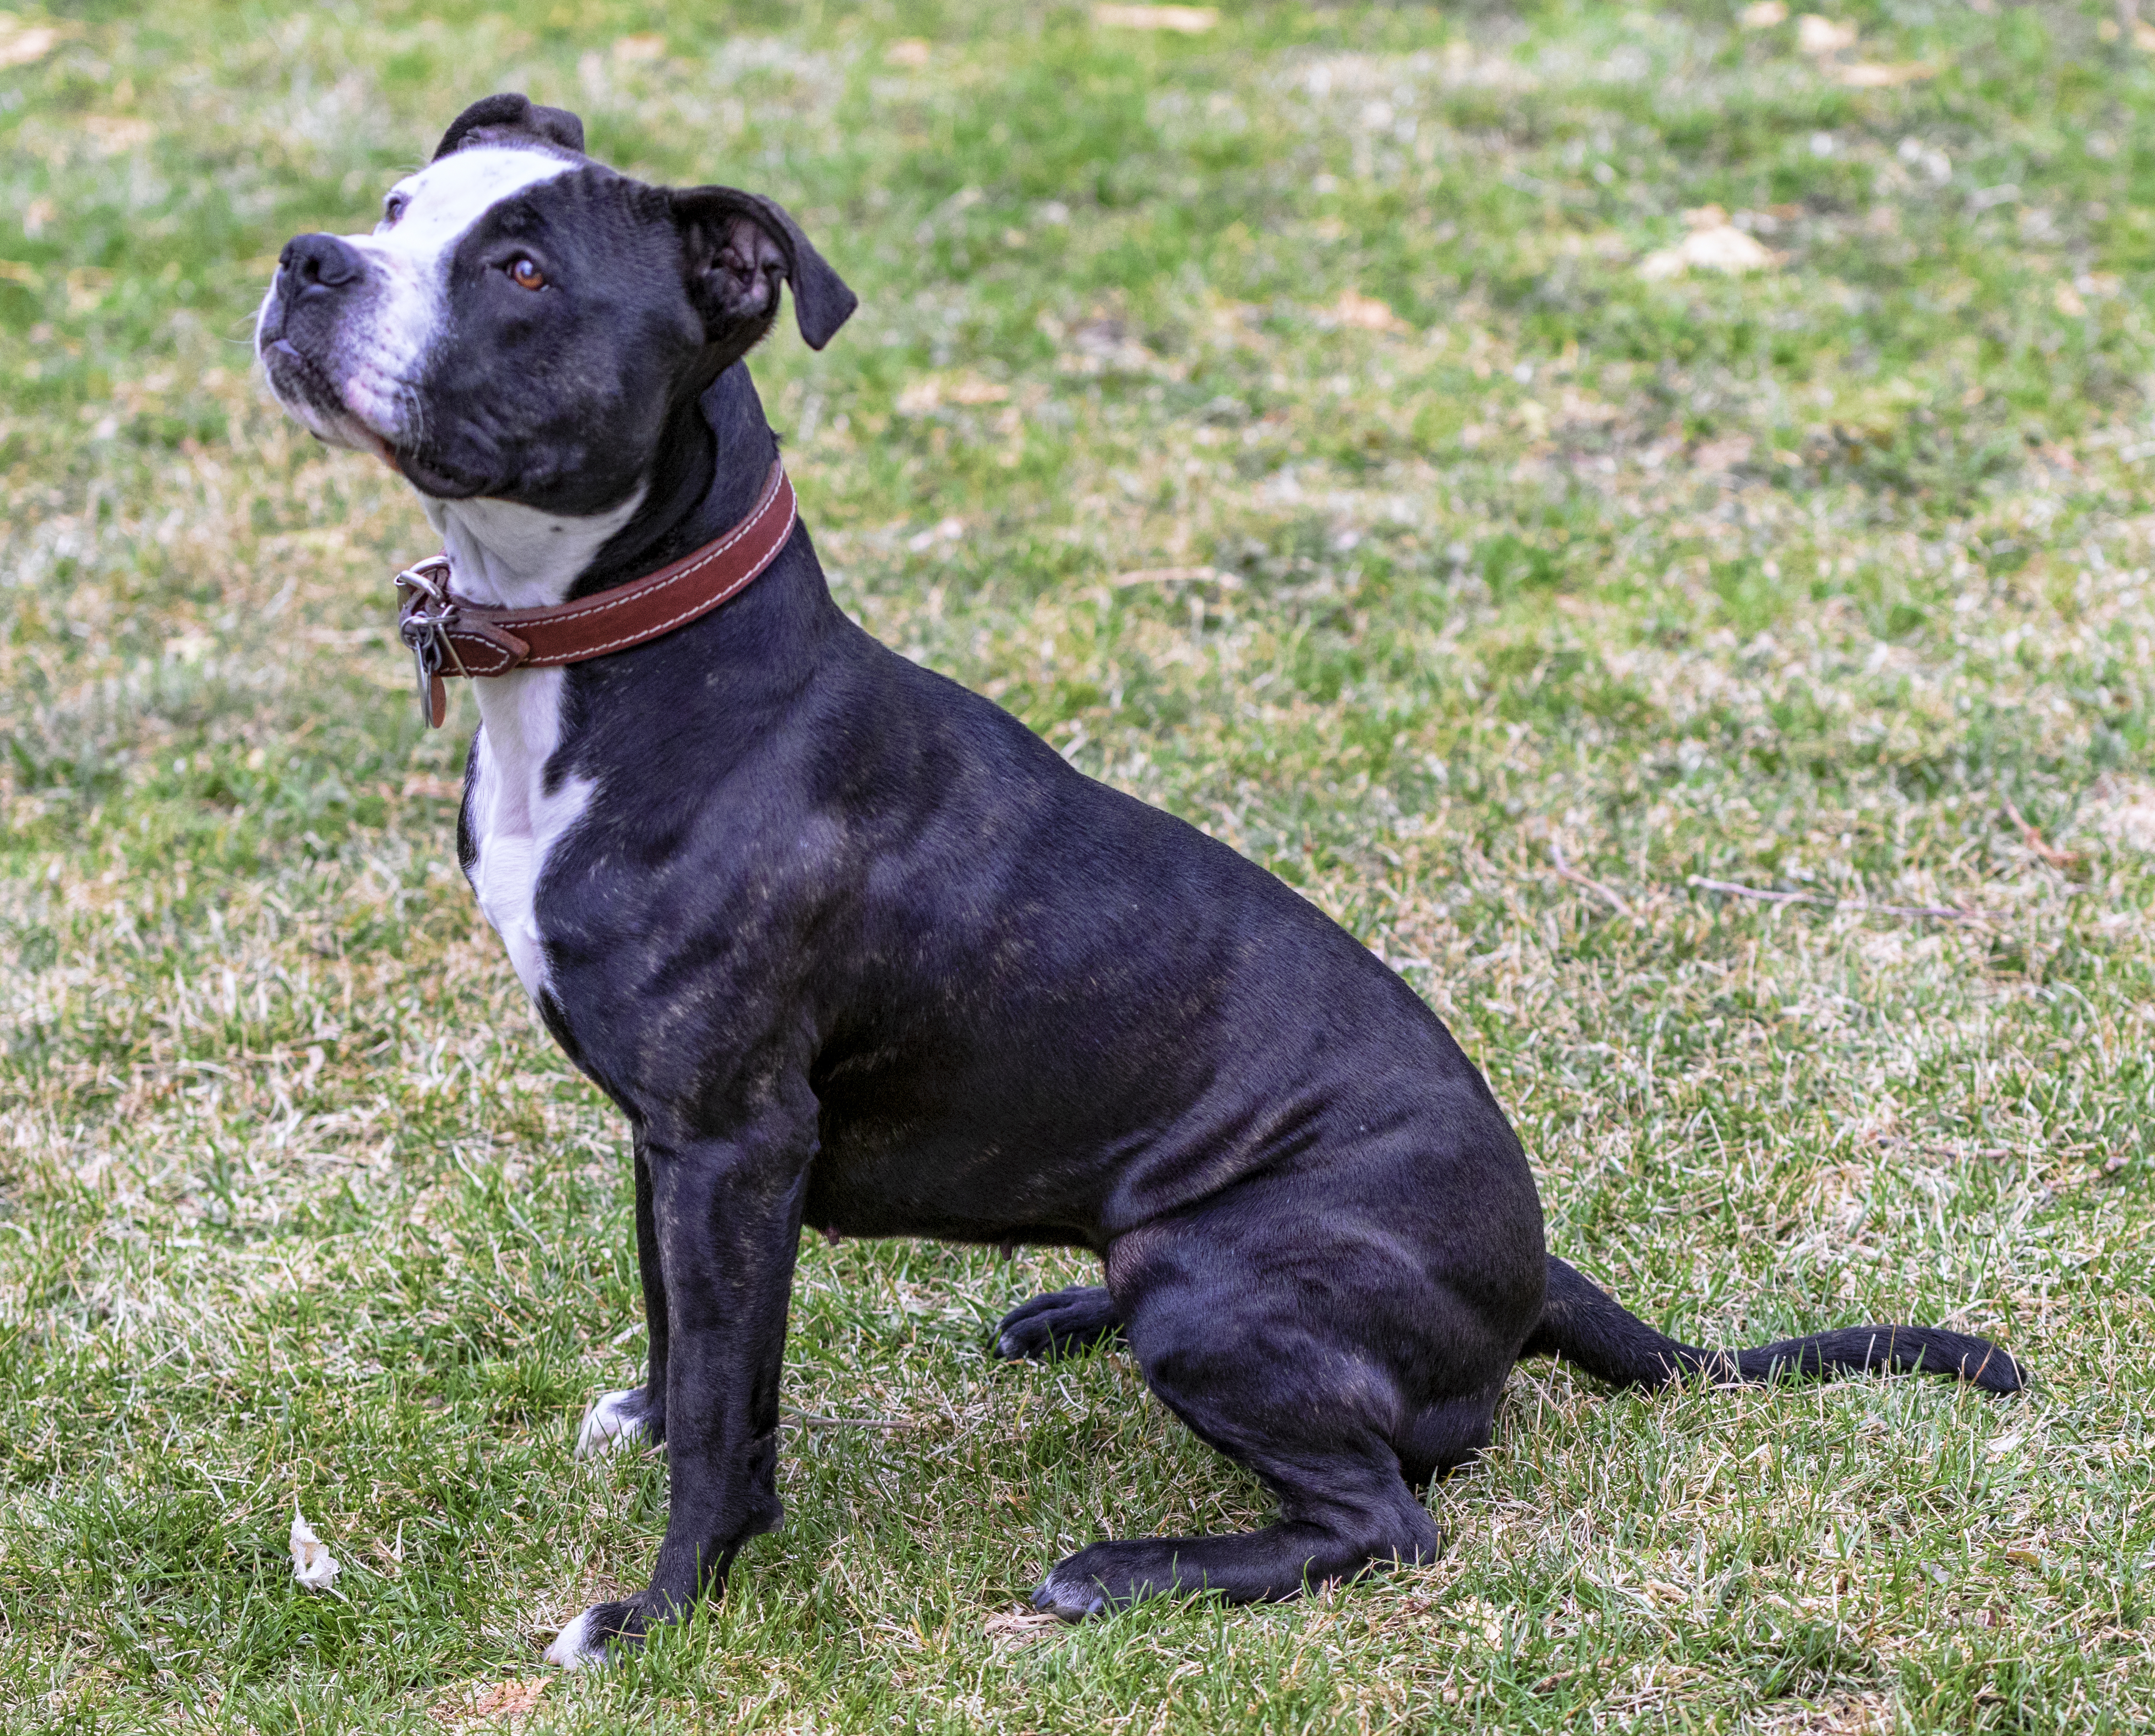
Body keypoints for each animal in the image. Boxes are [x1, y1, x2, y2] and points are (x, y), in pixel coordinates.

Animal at [260, 95, 2025, 1671]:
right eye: (399, 213)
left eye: (522, 271)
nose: (307, 261)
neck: (621, 660)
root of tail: (1532, 1274)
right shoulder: (672, 1138)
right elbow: (680, 1330)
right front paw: (643, 1418)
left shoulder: (732, 1138)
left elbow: (727, 1413)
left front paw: (664, 1605)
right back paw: (1061, 1318)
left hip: (1217, 1288)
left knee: (1387, 1518)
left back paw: (1128, 1571)